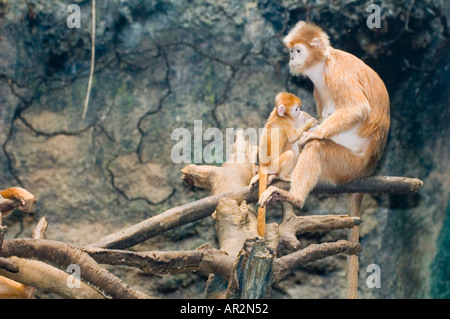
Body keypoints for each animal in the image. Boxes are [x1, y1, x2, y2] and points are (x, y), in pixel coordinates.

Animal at [251, 92, 318, 238]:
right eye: (296, 109)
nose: (299, 112)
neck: (279, 115)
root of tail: (263, 164)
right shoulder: (287, 122)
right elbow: (293, 137)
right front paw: (309, 124)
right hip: (275, 163)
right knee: (289, 154)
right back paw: (283, 176)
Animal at [256, 21, 390, 209]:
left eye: (298, 51)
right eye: (291, 51)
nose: (292, 59)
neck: (322, 64)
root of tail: (368, 169)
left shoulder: (336, 72)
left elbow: (359, 108)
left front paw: (315, 132)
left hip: (348, 167)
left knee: (315, 146)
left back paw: (295, 197)